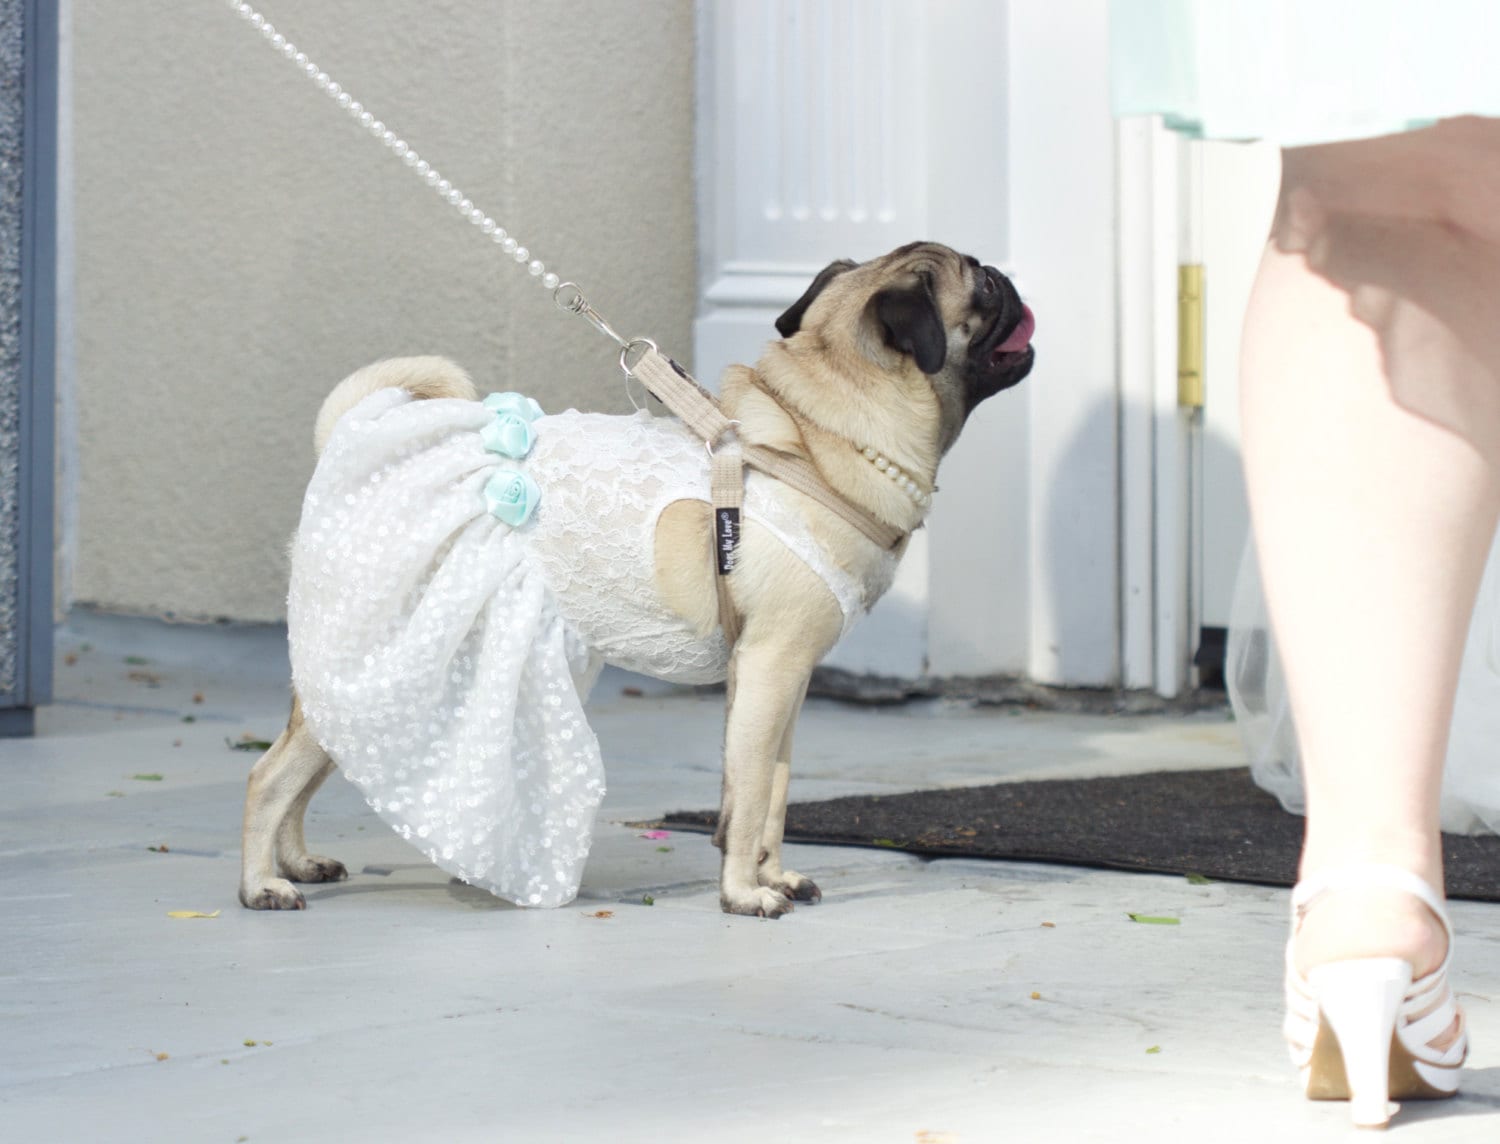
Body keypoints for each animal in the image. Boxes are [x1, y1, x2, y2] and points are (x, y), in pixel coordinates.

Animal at [240, 241, 1032, 923]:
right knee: (269, 778)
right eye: (984, 288)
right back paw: (261, 885)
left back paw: (299, 862)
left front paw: (773, 875)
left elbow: (770, 791)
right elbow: (749, 797)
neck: (815, 439)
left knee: (302, 772)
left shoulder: (783, 678)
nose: (1009, 274)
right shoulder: (772, 667)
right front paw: (743, 894)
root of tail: (349, 438)